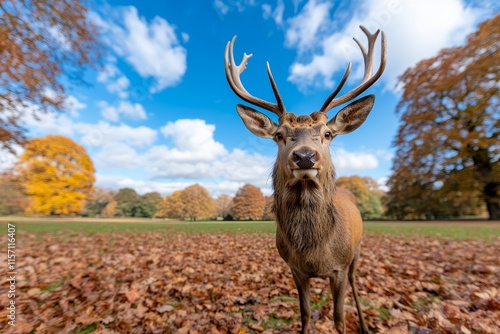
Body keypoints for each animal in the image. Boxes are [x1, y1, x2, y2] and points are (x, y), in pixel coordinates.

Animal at [225, 26, 388, 334]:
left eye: (327, 134)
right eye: (279, 135)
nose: (304, 156)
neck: (314, 252)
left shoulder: (339, 267)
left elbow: (339, 318)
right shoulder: (294, 268)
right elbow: (305, 313)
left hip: (357, 250)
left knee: (355, 283)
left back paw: (364, 325)